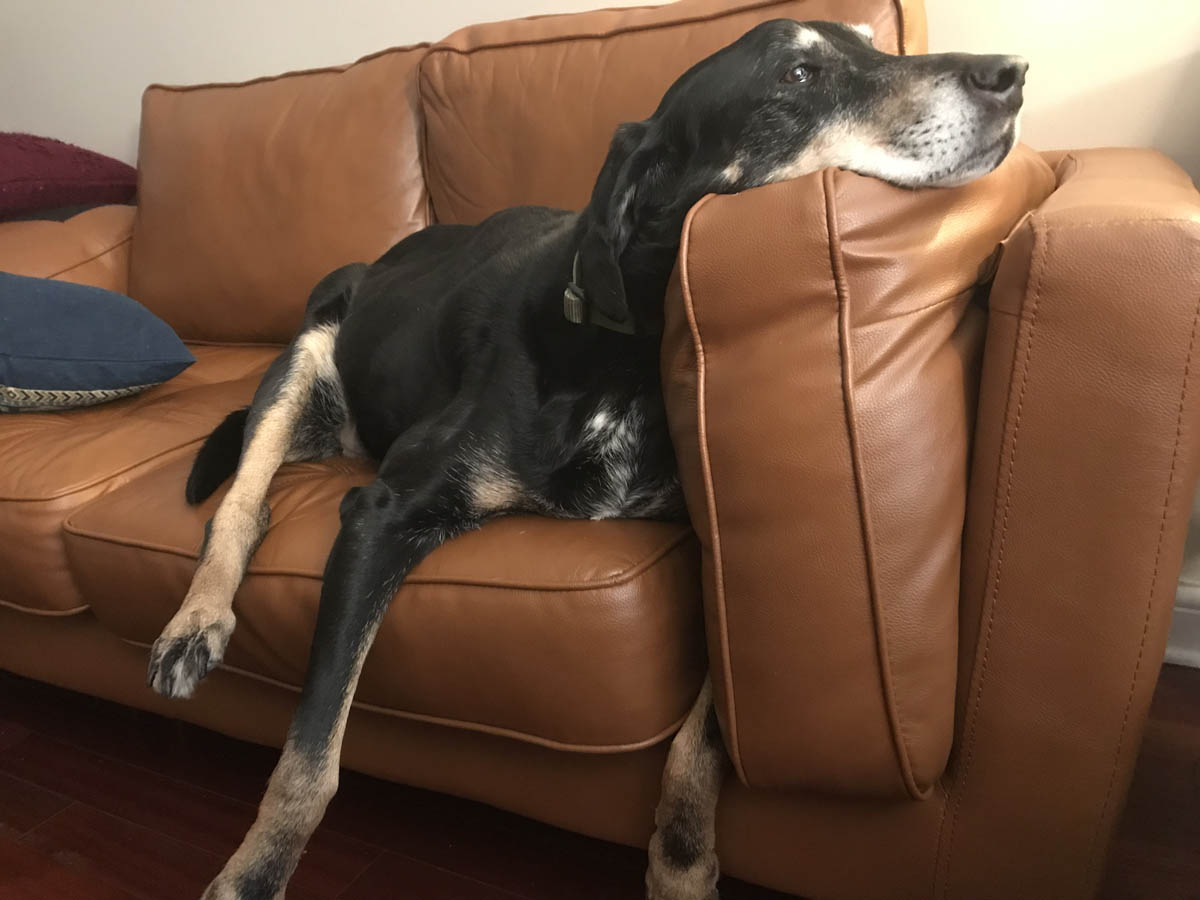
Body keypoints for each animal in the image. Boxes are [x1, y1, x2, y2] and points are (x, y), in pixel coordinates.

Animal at [145, 21, 1027, 900]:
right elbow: (313, 754)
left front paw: (681, 867)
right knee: (244, 501)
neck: (632, 347)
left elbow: (705, 734)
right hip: (302, 356)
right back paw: (196, 623)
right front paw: (253, 875)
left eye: (876, 46)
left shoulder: (723, 566)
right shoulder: (380, 514)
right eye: (798, 75)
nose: (1012, 73)